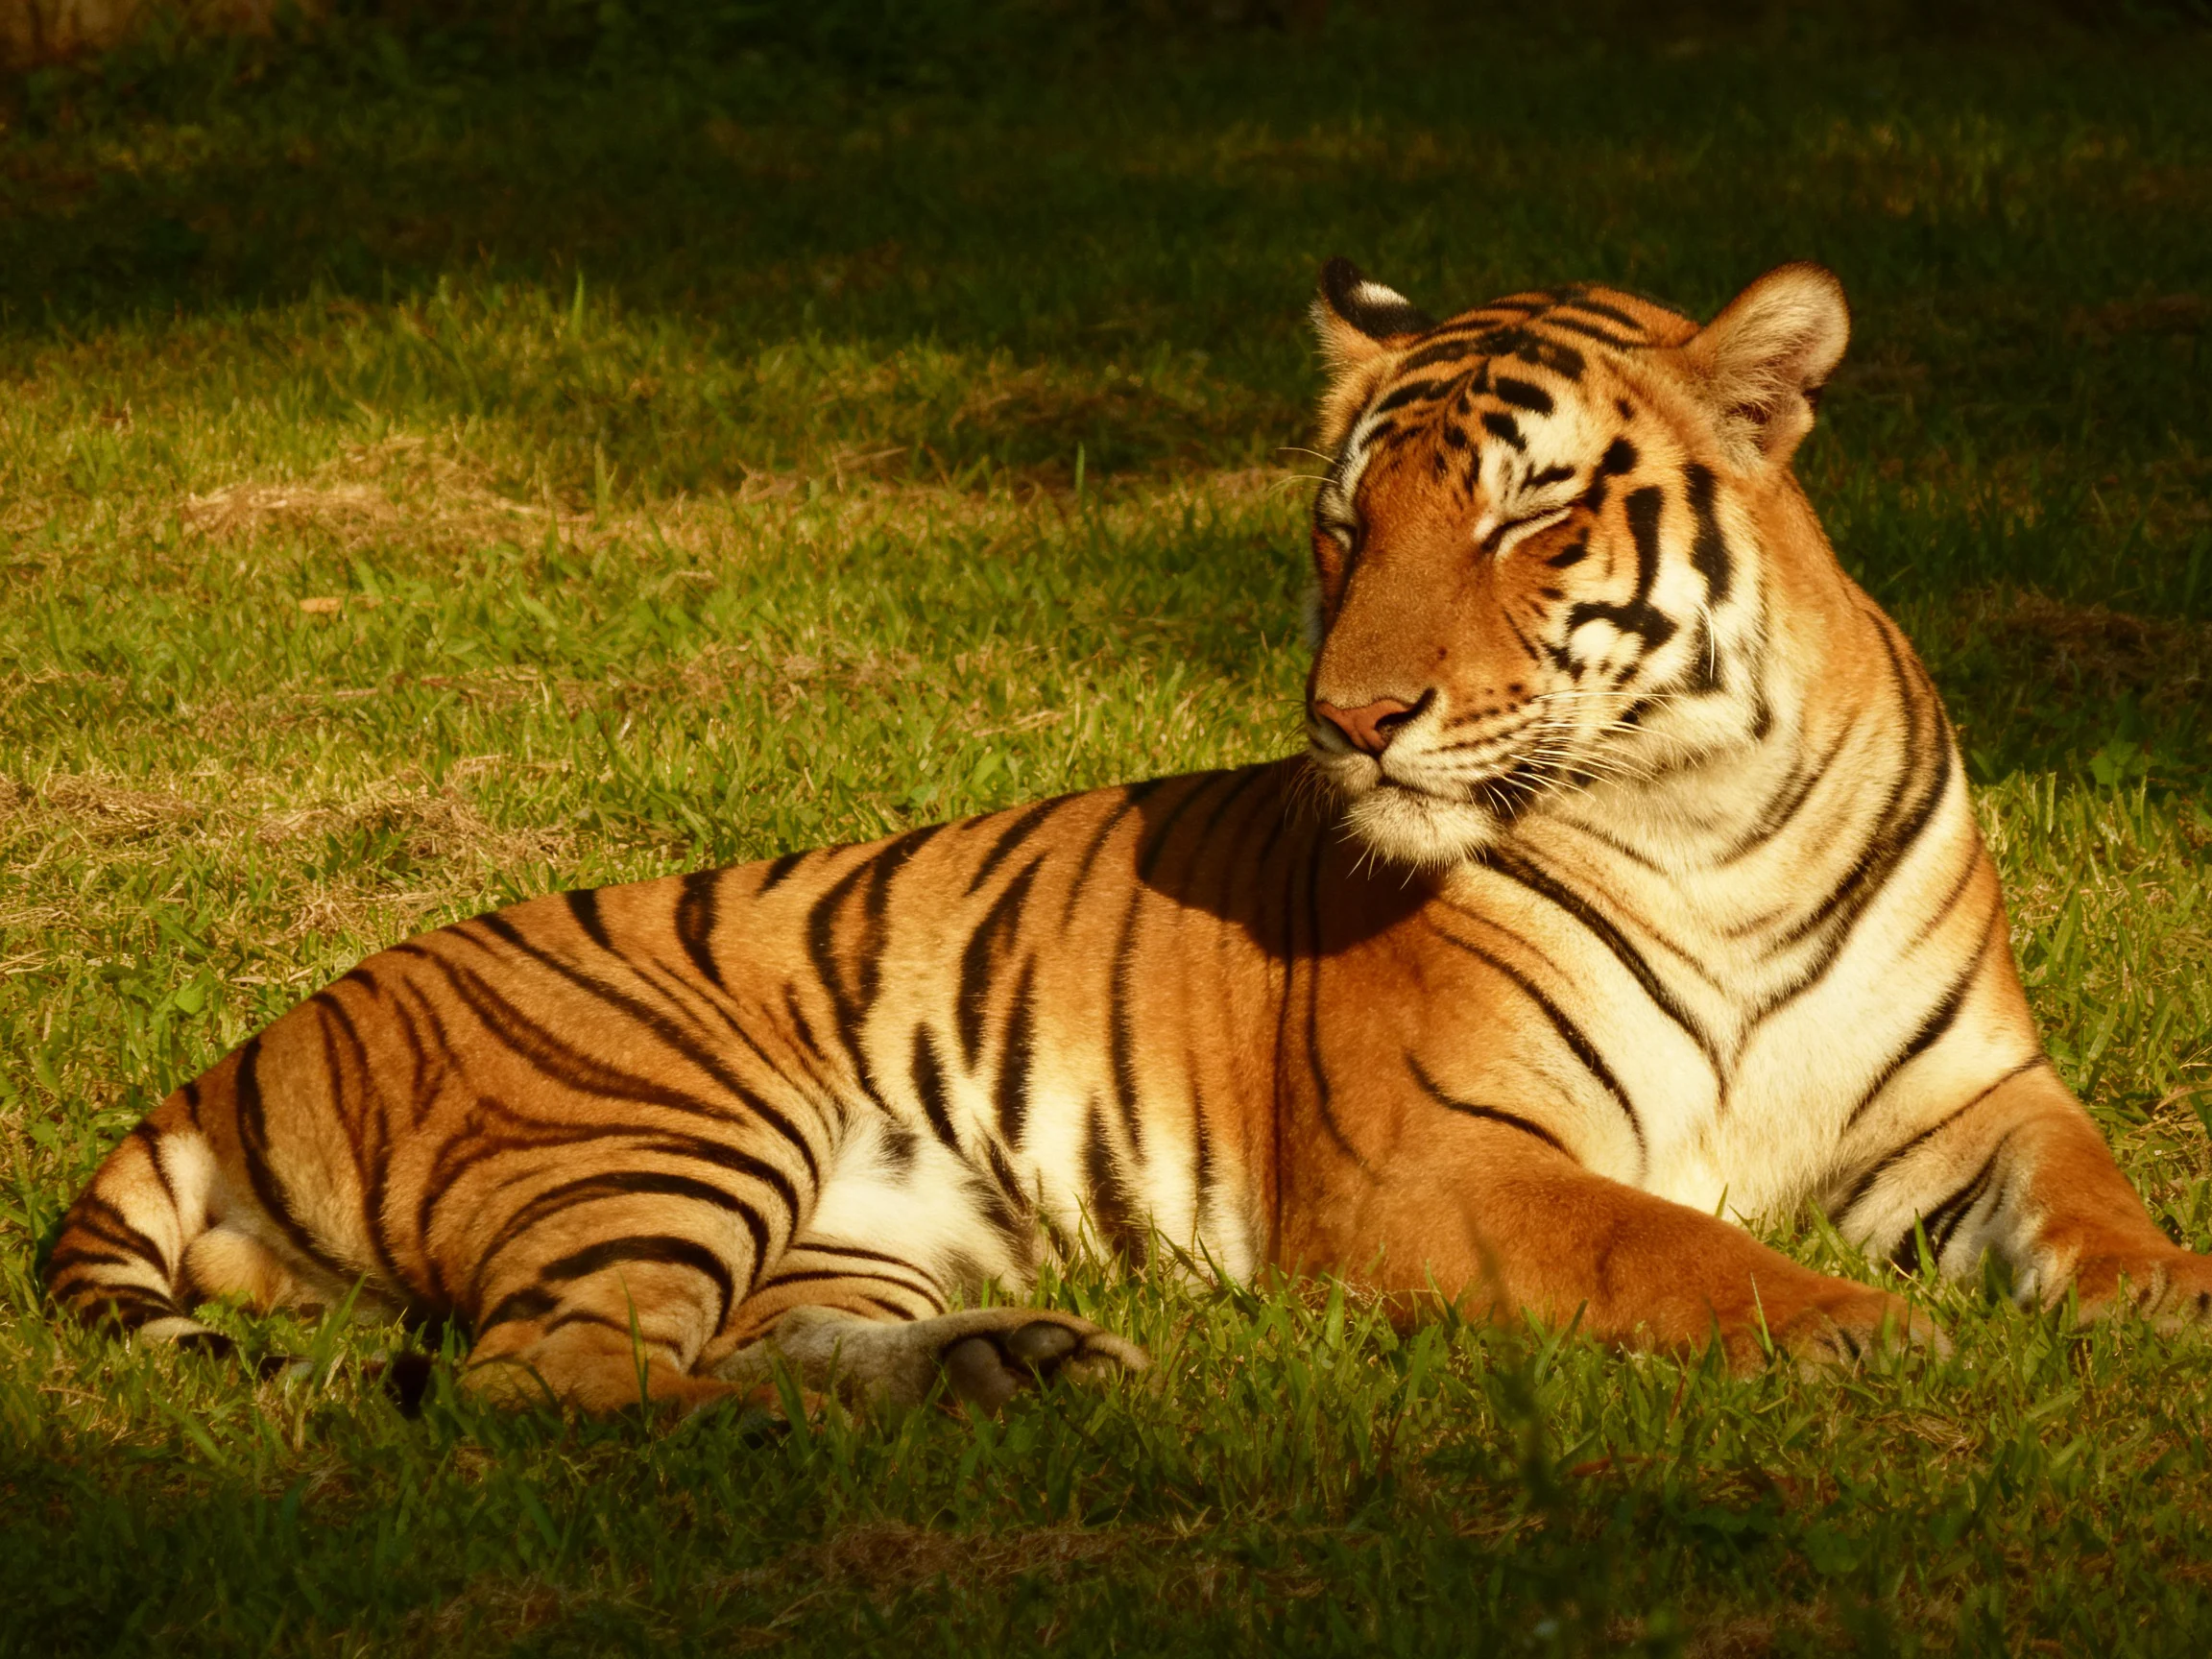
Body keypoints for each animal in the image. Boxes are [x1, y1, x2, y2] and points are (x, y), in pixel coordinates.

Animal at [45, 258, 2212, 1418]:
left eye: (1522, 516)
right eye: (1344, 522)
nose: (1352, 716)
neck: (1705, 807)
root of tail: (241, 1047)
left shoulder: (1970, 1100)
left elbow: (2095, 1204)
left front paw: (2170, 1305)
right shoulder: (1438, 1163)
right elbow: (1677, 1246)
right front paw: (1873, 1338)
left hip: (846, 1225)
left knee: (713, 1345)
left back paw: (1008, 1372)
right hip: (665, 1121)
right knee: (548, 1385)